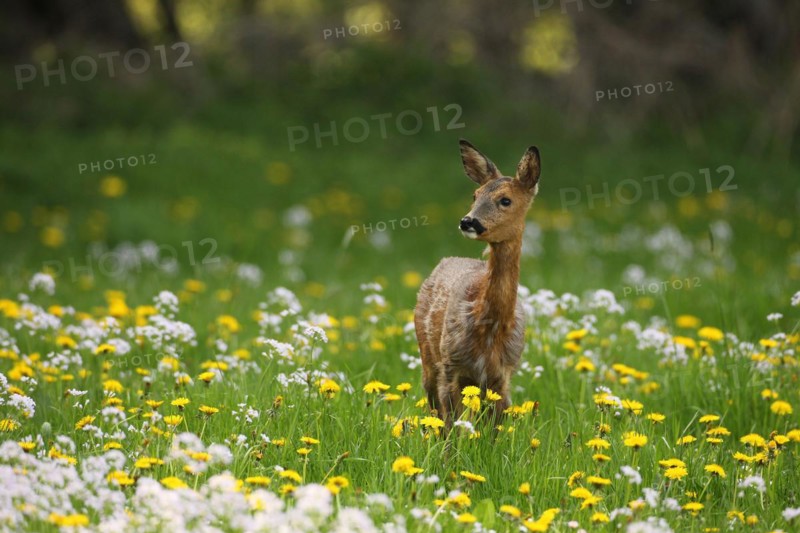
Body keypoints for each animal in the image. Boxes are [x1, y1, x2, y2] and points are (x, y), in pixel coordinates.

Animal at [414, 139, 541, 433]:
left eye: (505, 200)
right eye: (475, 195)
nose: (467, 221)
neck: (490, 329)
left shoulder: (502, 376)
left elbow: (493, 431)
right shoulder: (451, 367)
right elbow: (451, 429)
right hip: (429, 356)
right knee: (434, 408)